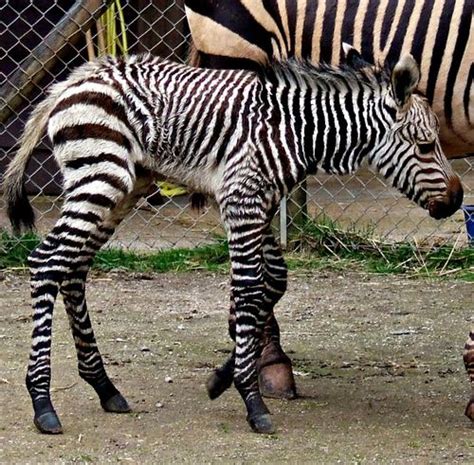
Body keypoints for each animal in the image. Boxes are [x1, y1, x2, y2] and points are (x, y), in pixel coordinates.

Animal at [3, 49, 462, 434]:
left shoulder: (260, 204)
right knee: (47, 262)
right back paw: (43, 403)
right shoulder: (242, 199)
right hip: (101, 177)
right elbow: (250, 288)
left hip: (121, 188)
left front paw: (225, 375)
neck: (298, 132)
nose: (458, 199)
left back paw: (104, 386)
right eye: (426, 146)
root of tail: (75, 79)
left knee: (73, 269)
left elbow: (273, 282)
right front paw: (252, 398)